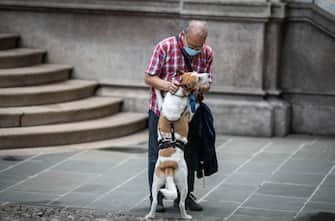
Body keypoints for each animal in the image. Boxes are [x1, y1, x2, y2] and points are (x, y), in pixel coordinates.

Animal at [145, 71, 209, 219]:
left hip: (156, 181)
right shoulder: (189, 115)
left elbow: (159, 98)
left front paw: (157, 89)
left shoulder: (161, 106)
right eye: (198, 78)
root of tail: (169, 166)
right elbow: (194, 107)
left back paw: (150, 215)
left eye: (198, 73)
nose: (208, 75)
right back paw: (185, 216)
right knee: (180, 202)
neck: (179, 93)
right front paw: (198, 98)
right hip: (183, 182)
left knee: (155, 201)